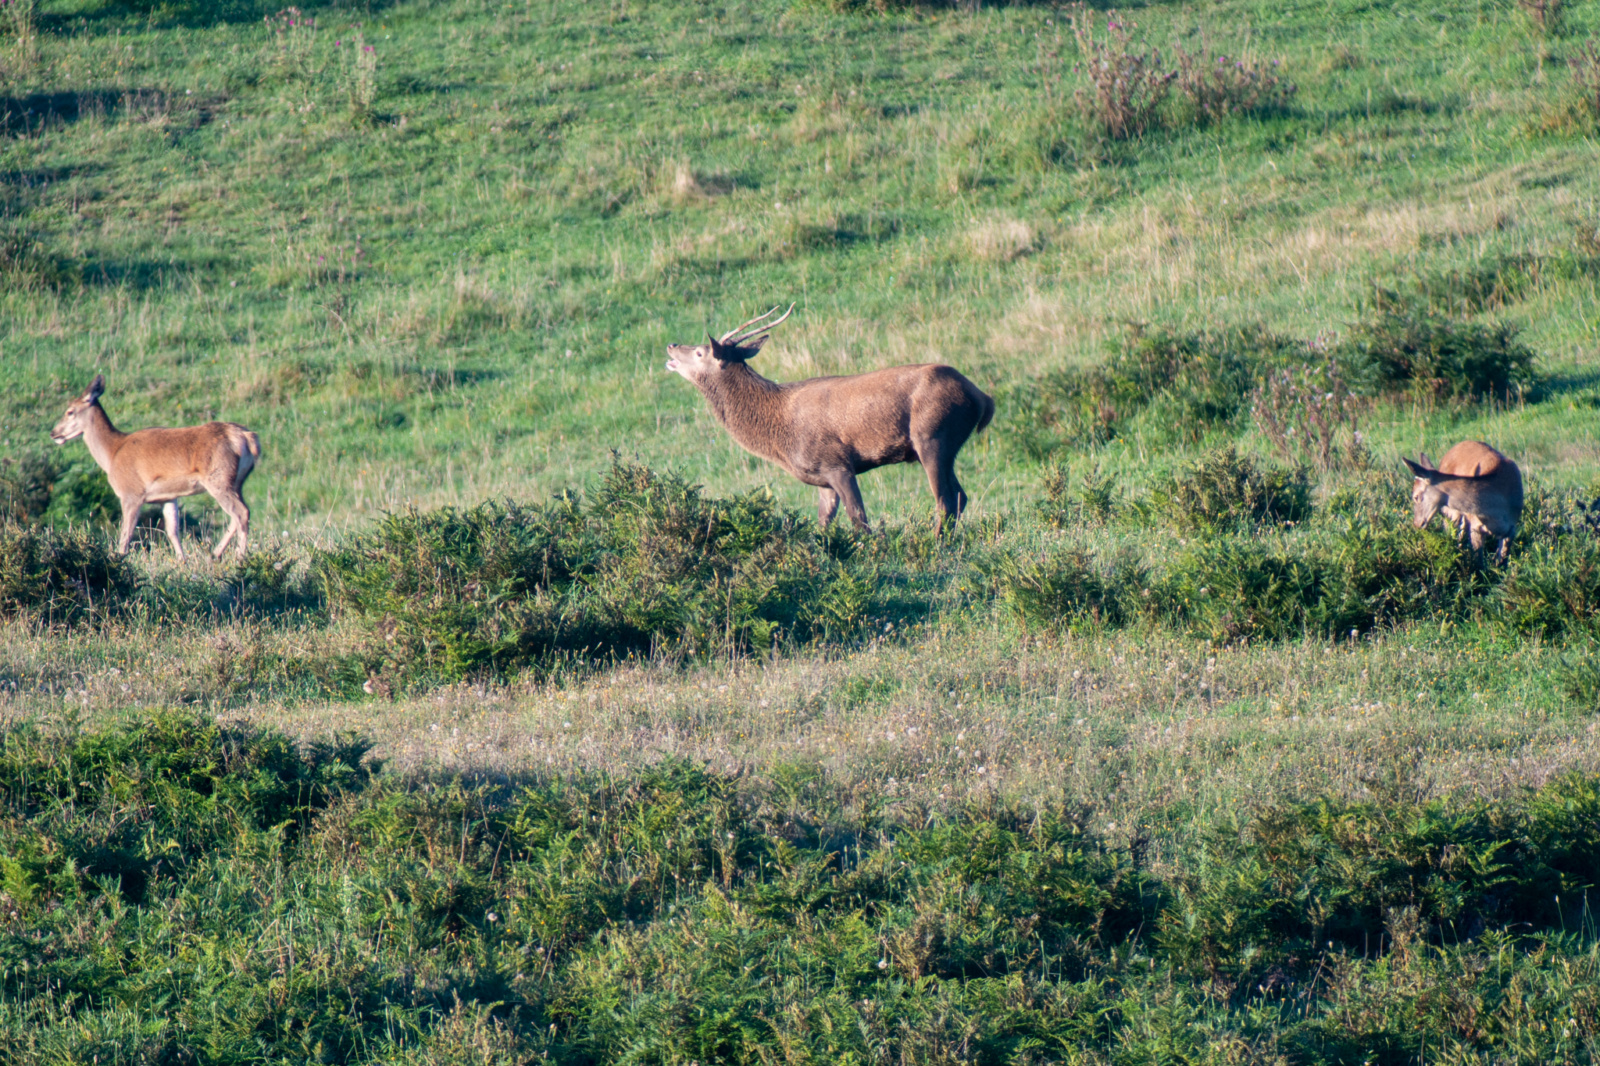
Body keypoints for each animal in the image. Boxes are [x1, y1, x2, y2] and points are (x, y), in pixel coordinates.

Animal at [49, 371, 259, 557]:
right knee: (238, 515)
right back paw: (215, 554)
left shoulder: (131, 493)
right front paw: (182, 561)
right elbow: (172, 531)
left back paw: (239, 557)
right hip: (237, 481)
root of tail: (247, 438)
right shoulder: (168, 497)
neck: (112, 453)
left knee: (241, 513)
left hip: (219, 478)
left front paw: (118, 559)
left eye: (70, 411)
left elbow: (125, 535)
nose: (54, 433)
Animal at [665, 302, 992, 528]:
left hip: (933, 435)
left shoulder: (838, 464)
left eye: (700, 352)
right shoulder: (821, 478)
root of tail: (982, 397)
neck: (779, 438)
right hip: (944, 444)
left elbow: (859, 519)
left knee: (945, 501)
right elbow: (823, 525)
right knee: (960, 497)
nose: (671, 344)